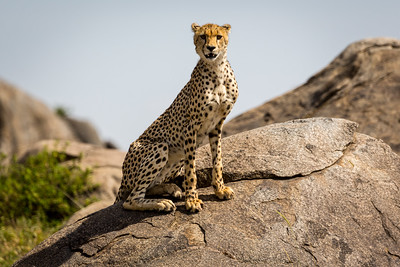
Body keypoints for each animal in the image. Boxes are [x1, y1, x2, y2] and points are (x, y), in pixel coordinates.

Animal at [114, 23, 238, 213]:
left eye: (218, 36)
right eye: (203, 36)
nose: (210, 48)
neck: (217, 69)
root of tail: (122, 177)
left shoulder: (217, 126)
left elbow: (217, 160)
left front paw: (219, 189)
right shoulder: (191, 127)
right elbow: (191, 170)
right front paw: (192, 200)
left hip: (176, 156)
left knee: (147, 187)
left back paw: (170, 188)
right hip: (160, 146)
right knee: (131, 199)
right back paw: (161, 203)